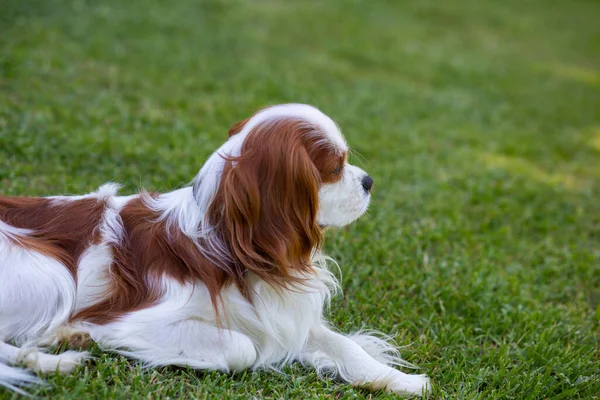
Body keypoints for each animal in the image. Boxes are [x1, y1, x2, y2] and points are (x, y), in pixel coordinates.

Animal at [1, 102, 432, 394]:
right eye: (336, 168)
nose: (369, 181)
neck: (231, 246)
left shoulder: (280, 319)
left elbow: (344, 346)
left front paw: (402, 380)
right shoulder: (134, 318)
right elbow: (242, 349)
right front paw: (89, 333)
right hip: (49, 274)